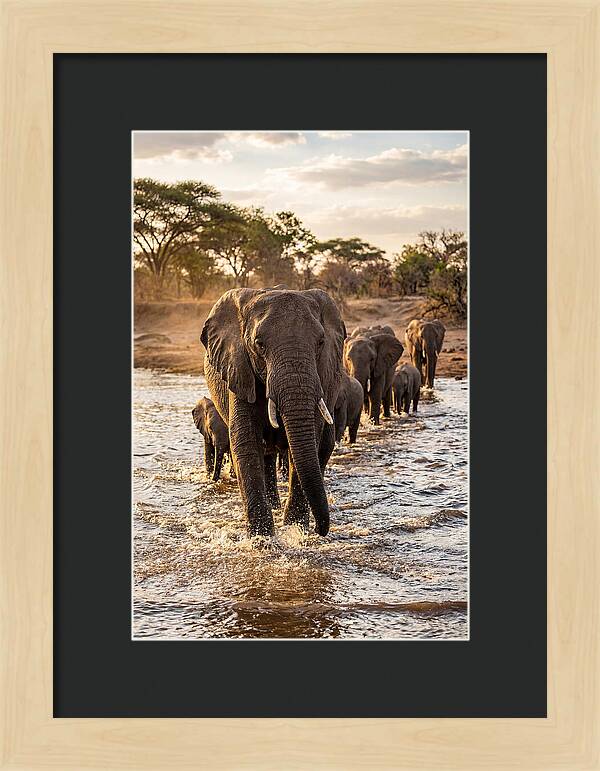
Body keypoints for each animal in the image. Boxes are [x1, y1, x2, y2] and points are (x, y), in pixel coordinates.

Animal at [200, 287, 346, 537]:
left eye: (320, 342)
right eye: (259, 344)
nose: (320, 530)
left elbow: (309, 443)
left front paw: (295, 531)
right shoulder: (239, 370)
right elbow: (246, 444)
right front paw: (262, 540)